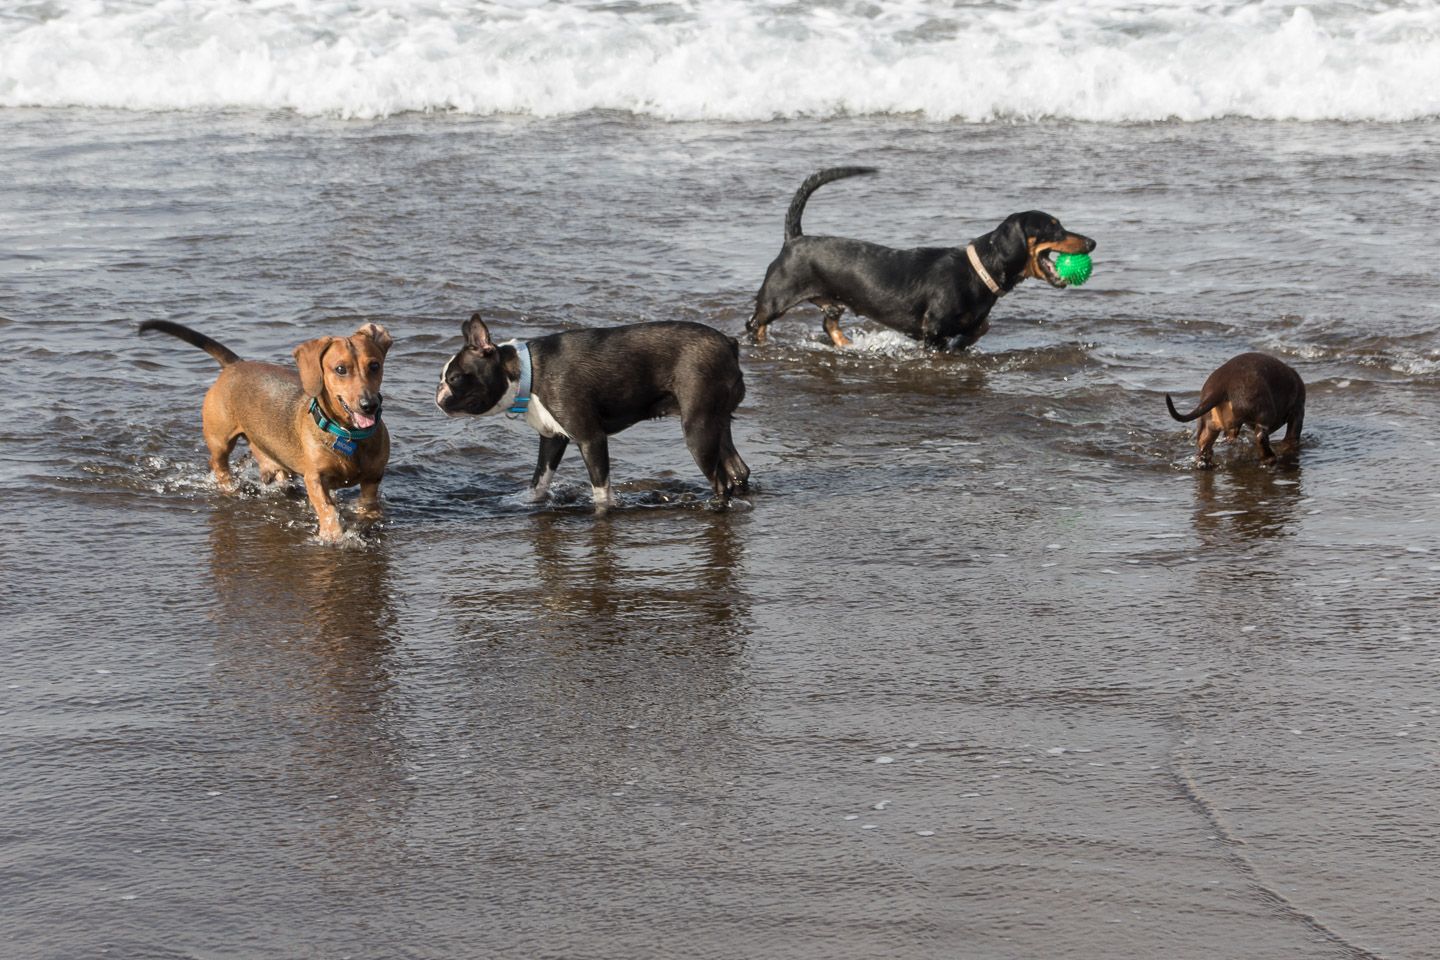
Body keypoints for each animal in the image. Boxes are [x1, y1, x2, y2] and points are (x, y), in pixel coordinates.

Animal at [139, 320, 391, 541]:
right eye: (340, 369)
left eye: (374, 366)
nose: (369, 405)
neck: (348, 434)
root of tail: (235, 364)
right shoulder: (315, 478)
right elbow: (327, 508)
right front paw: (334, 533)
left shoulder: (372, 478)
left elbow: (368, 506)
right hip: (220, 439)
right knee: (218, 463)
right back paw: (230, 485)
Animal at [434, 315, 754, 509]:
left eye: (454, 378)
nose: (438, 393)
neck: (527, 372)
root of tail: (729, 344)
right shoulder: (553, 439)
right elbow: (540, 479)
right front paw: (527, 502)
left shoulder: (591, 439)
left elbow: (601, 488)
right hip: (717, 422)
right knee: (738, 469)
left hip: (698, 429)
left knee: (720, 480)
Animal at [1169, 355, 1307, 472]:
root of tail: (1222, 385)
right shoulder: (1298, 412)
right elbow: (1292, 436)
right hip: (1264, 411)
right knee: (1261, 436)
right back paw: (1270, 459)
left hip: (1210, 424)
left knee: (1204, 444)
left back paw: (1207, 465)